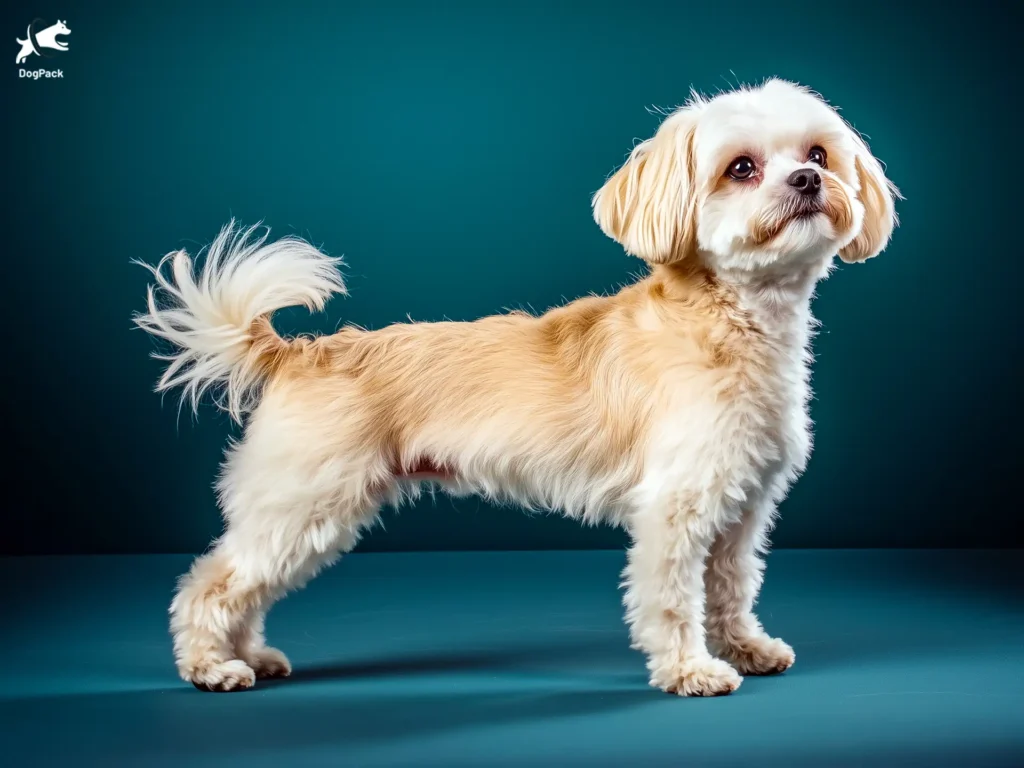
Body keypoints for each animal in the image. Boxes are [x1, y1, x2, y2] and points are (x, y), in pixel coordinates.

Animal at [134, 79, 897, 696]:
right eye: (742, 168)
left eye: (819, 154)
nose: (807, 181)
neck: (730, 321)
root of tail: (298, 354)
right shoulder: (674, 510)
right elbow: (674, 598)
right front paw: (691, 670)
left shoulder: (741, 511)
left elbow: (732, 587)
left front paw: (745, 648)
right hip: (303, 505)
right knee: (211, 582)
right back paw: (210, 665)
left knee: (244, 587)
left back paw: (251, 656)